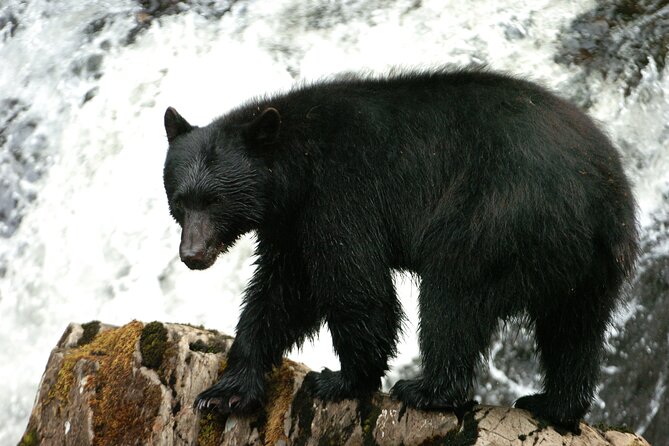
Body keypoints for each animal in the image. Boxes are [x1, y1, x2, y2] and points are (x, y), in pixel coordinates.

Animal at [162, 67, 638, 432]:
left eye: (216, 200)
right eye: (181, 200)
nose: (193, 255)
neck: (296, 167)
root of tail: (599, 194)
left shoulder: (339, 195)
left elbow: (355, 285)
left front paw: (342, 380)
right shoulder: (290, 225)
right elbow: (281, 294)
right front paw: (225, 392)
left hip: (496, 215)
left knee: (453, 297)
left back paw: (428, 390)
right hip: (593, 264)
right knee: (574, 329)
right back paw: (553, 403)